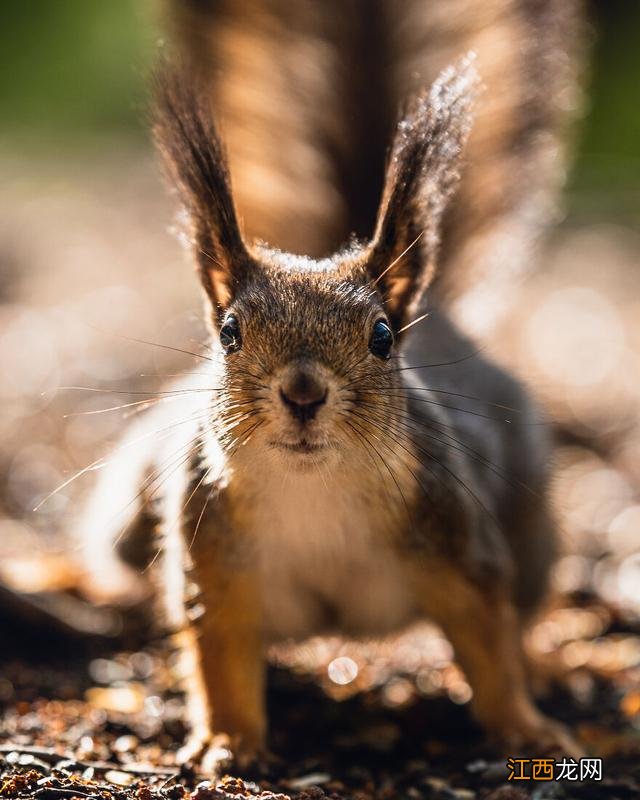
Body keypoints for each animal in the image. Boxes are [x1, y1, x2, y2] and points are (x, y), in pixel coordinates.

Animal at [72, 0, 584, 768]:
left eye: (382, 336)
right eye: (229, 332)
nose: (305, 393)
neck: (315, 492)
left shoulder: (459, 539)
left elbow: (490, 643)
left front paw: (526, 727)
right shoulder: (210, 559)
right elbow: (219, 658)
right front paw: (228, 741)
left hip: (529, 530)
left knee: (523, 605)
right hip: (137, 516)